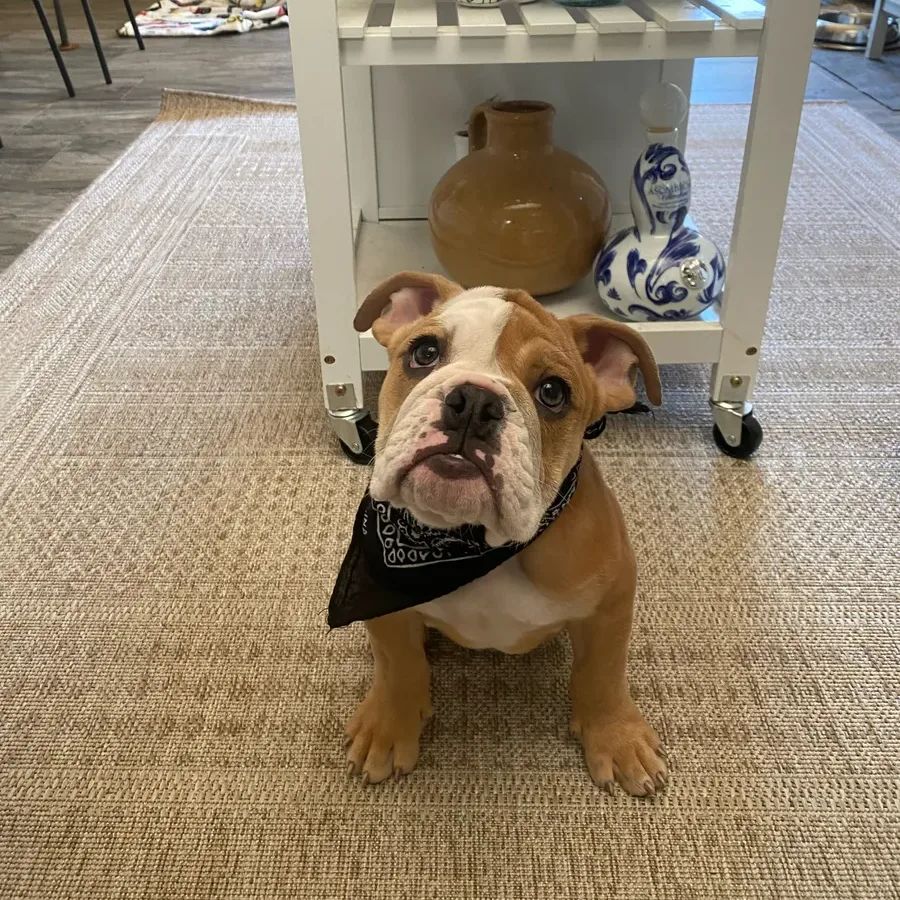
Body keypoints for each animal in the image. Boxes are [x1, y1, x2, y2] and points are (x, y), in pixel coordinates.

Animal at [344, 272, 668, 796]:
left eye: (553, 392)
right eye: (425, 352)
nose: (475, 401)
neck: (472, 545)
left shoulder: (612, 603)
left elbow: (603, 674)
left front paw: (616, 736)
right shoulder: (384, 609)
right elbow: (397, 666)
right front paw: (389, 726)